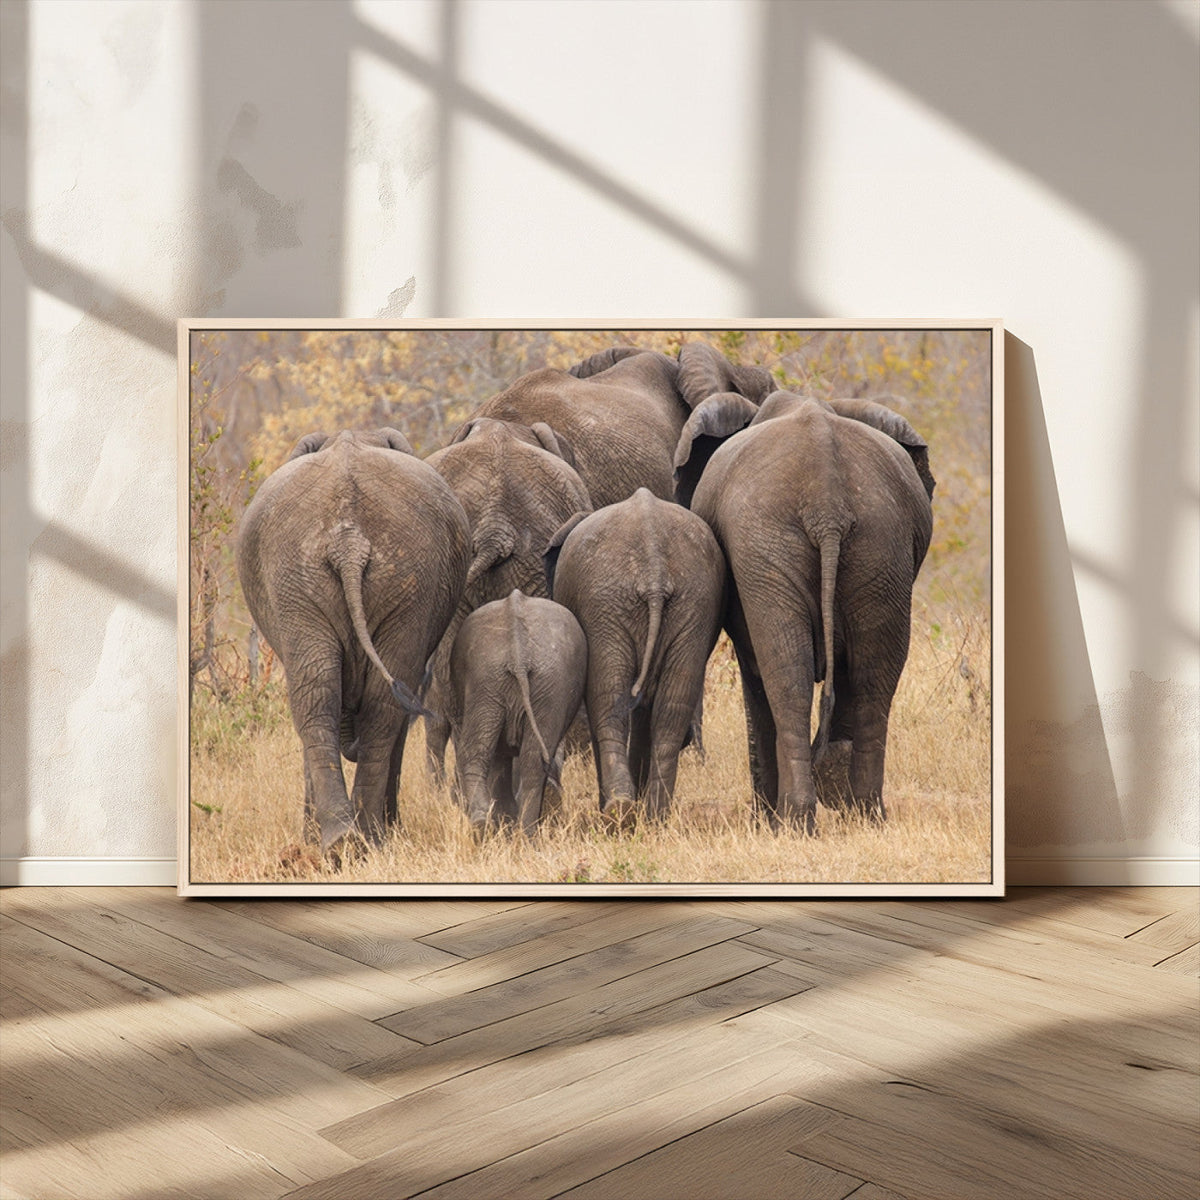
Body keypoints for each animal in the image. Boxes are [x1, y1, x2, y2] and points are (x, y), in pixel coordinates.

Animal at [236, 428, 470, 860]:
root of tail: (349, 541)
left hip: (373, 578)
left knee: (334, 698)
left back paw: (356, 839)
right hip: (317, 577)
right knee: (337, 696)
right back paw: (350, 840)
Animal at [448, 590, 587, 838]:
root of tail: (518, 653)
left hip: (502, 680)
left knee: (488, 753)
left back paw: (493, 828)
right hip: (523, 682)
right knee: (524, 758)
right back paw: (516, 833)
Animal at [545, 488, 725, 822]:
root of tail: (654, 568)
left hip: (606, 606)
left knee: (608, 701)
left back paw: (619, 811)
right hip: (693, 603)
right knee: (671, 708)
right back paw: (653, 815)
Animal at [688, 391, 935, 833]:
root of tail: (827, 502)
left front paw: (765, 822)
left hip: (771, 546)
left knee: (787, 678)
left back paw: (794, 822)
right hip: (880, 546)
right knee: (871, 682)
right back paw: (864, 815)